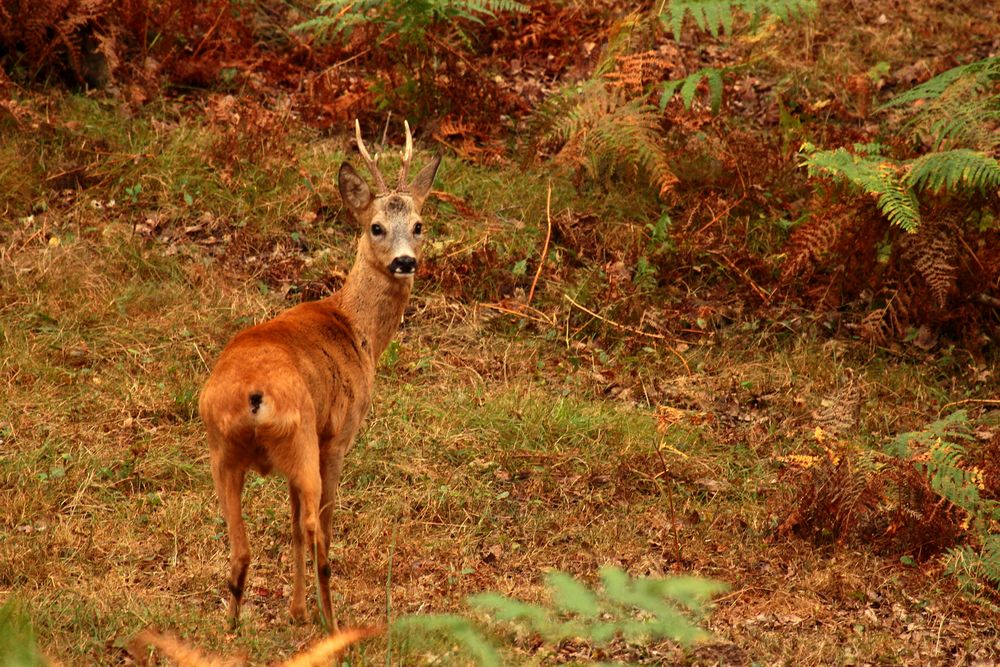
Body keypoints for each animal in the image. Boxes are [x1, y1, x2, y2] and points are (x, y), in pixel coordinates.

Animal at [197, 121, 440, 632]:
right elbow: (312, 526)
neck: (356, 328)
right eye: (375, 226)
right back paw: (334, 622)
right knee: (316, 530)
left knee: (241, 546)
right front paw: (306, 612)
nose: (405, 261)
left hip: (221, 451)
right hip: (304, 439)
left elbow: (288, 528)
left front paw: (295, 610)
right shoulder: (339, 436)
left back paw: (232, 627)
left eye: (419, 225)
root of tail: (254, 395)